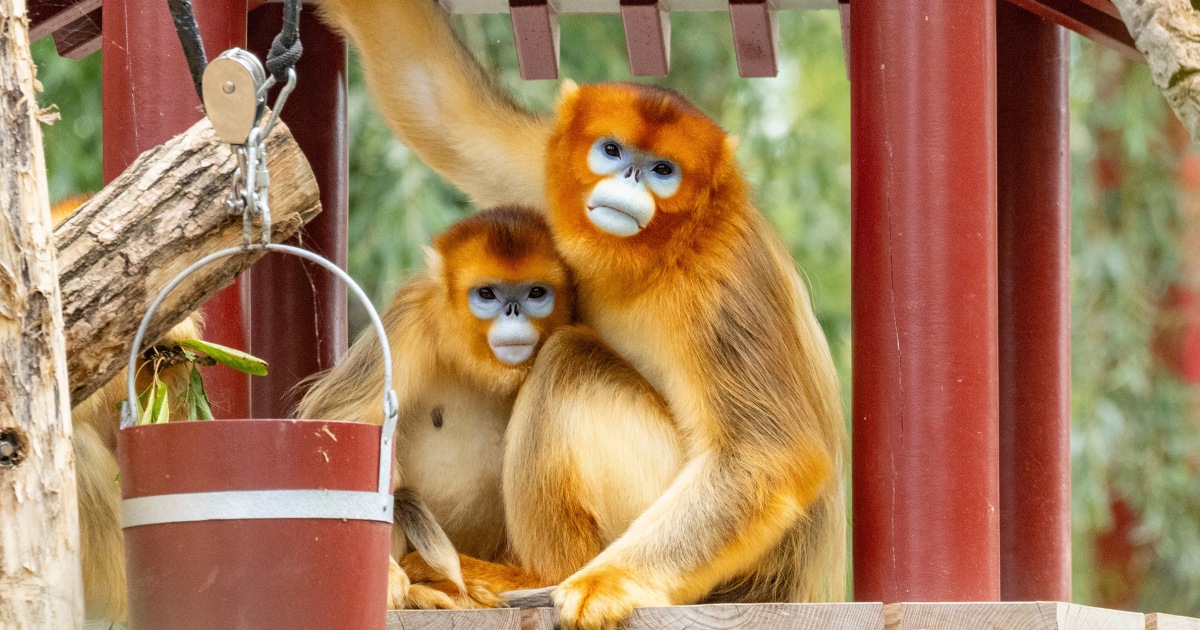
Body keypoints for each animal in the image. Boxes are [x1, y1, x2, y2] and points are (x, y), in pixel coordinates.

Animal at [295, 205, 574, 608]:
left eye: (536, 292)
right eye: (487, 294)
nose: (513, 312)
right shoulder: (410, 318)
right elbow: (340, 422)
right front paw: (385, 576)